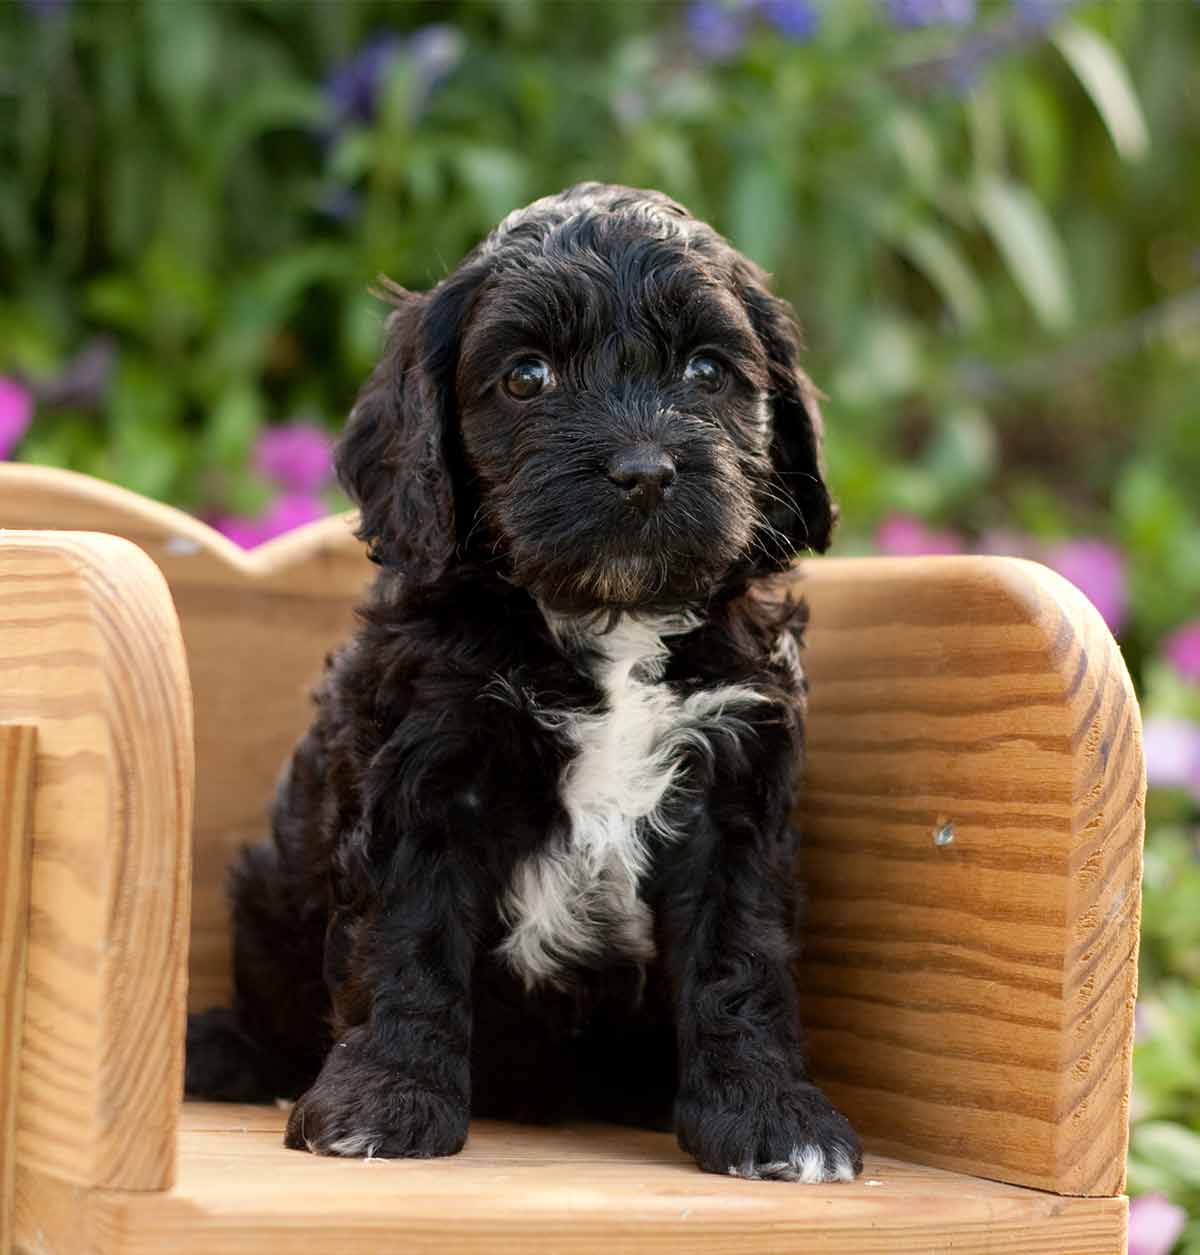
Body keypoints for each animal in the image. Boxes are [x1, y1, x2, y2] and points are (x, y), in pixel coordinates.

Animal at [185, 181, 863, 1179]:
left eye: (706, 370)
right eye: (526, 377)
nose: (644, 471)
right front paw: (385, 1101)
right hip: (270, 891)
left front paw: (772, 1115)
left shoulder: (734, 787)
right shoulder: (426, 770)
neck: (611, 620)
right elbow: (406, 941)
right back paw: (223, 1049)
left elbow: (741, 954)